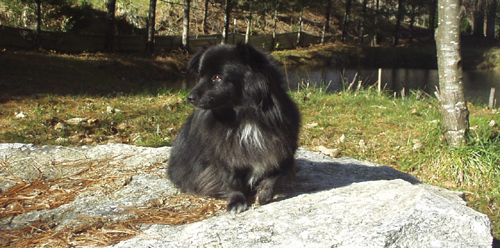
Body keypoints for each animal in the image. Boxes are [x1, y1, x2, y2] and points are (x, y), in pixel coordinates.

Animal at [168, 43, 300, 213]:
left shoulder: (283, 148)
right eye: (201, 76)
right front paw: (237, 201)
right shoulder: (224, 155)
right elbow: (231, 179)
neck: (245, 116)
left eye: (217, 78)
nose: (189, 97)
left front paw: (265, 192)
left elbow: (279, 173)